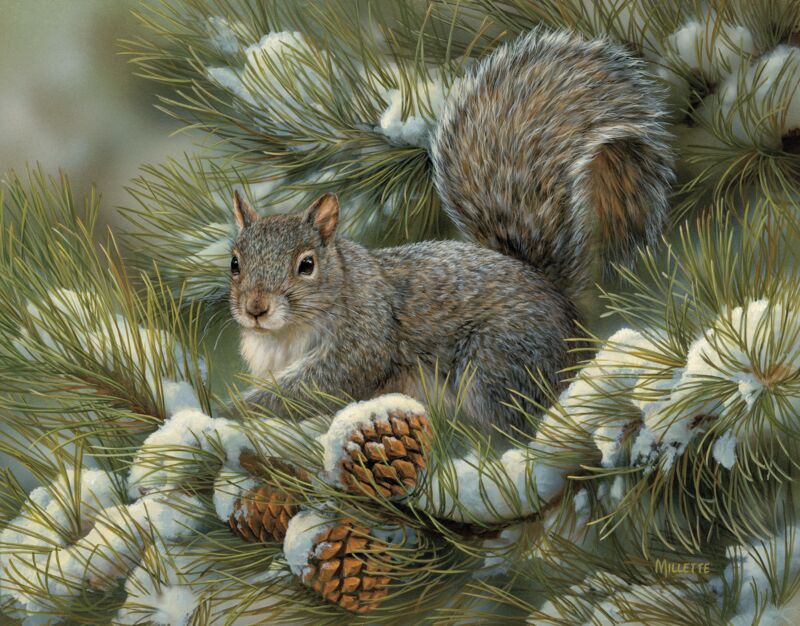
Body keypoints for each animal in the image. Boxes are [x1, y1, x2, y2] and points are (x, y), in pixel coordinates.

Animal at [228, 29, 674, 435]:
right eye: (234, 263)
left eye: (306, 265)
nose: (255, 308)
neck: (285, 333)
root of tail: (564, 310)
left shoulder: (364, 337)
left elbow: (320, 385)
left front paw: (239, 409)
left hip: (498, 363)